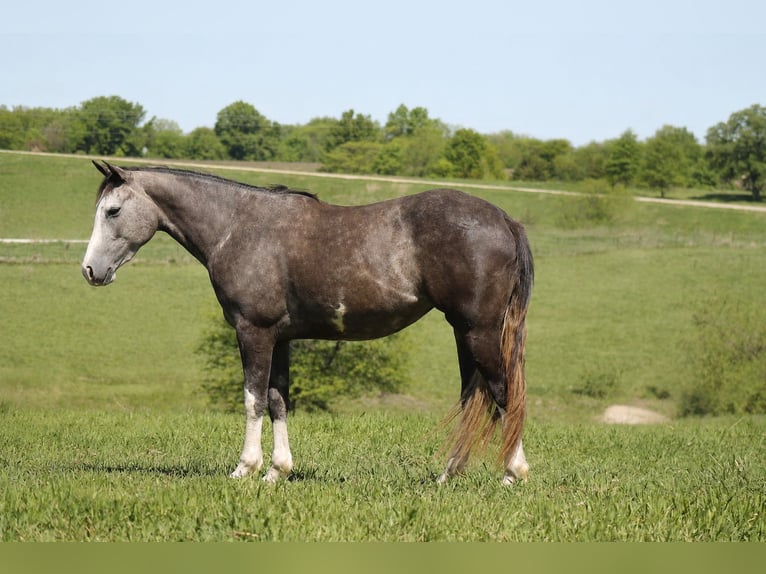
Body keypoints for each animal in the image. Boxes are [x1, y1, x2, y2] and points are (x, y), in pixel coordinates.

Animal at [82, 161, 534, 485]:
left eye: (113, 210)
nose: (90, 270)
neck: (238, 226)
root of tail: (504, 219)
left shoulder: (253, 332)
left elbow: (253, 399)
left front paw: (245, 469)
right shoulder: (280, 338)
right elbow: (278, 400)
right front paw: (276, 471)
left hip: (479, 332)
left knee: (502, 393)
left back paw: (513, 475)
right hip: (464, 332)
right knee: (474, 398)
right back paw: (448, 475)